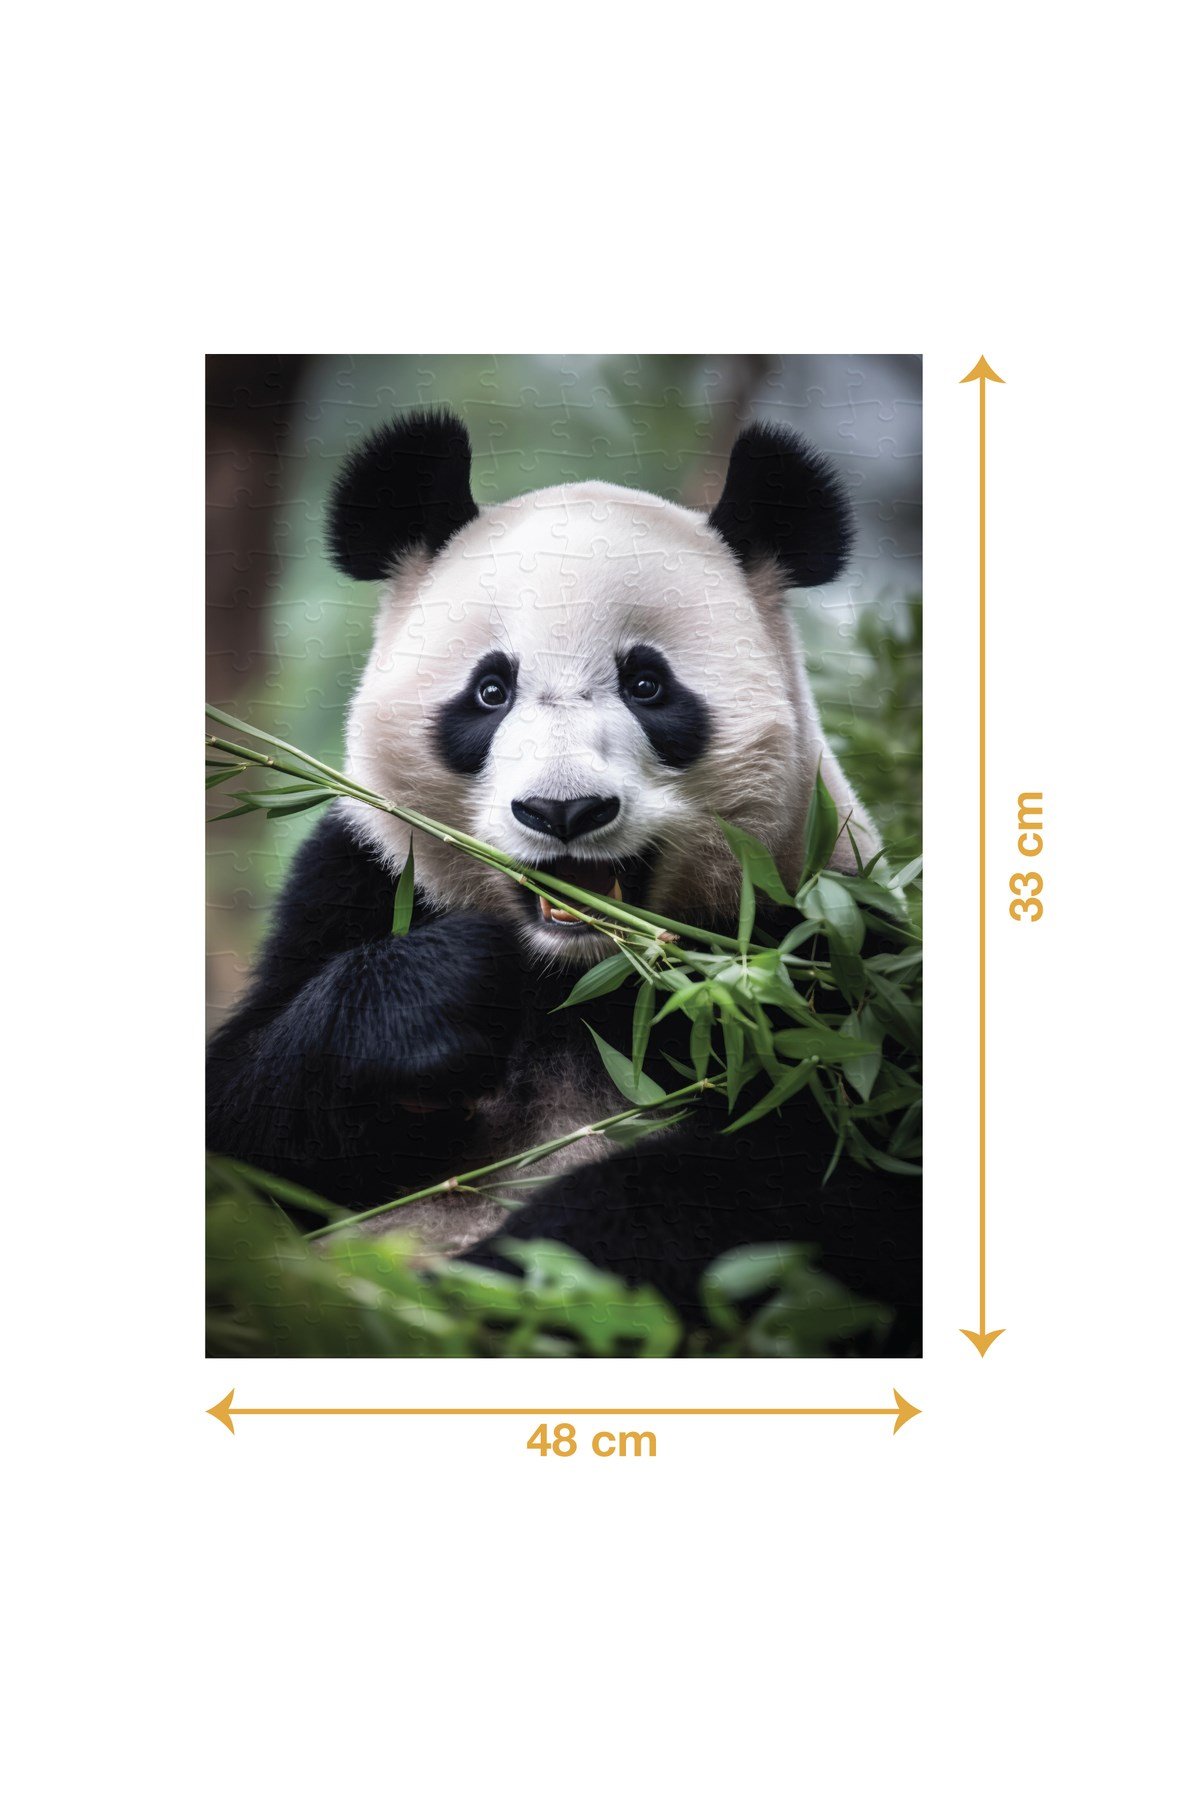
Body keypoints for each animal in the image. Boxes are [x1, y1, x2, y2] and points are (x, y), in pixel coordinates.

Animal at [206, 409, 920, 1349]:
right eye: (490, 691)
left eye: (648, 684)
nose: (564, 811)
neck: (581, 977)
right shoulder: (354, 880)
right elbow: (242, 1139)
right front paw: (436, 1001)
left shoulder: (825, 952)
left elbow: (825, 1179)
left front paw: (500, 1292)